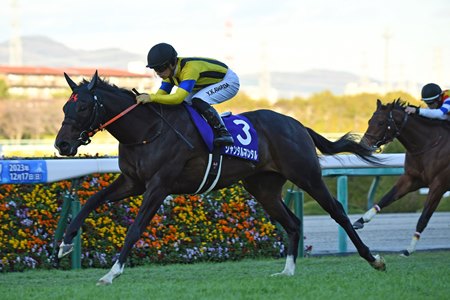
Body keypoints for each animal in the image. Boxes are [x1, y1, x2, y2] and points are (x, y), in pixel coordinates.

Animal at [54, 71, 384, 284]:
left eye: (83, 106)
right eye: (65, 106)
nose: (62, 145)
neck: (147, 131)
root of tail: (297, 124)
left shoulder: (159, 186)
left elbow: (134, 229)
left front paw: (112, 273)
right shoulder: (132, 182)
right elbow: (91, 201)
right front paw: (64, 244)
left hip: (306, 175)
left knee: (337, 212)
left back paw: (373, 258)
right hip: (263, 187)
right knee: (292, 223)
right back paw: (287, 271)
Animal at [356, 100, 450, 255]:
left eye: (381, 122)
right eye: (370, 121)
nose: (363, 145)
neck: (429, 144)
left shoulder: (439, 184)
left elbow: (424, 217)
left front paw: (409, 248)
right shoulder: (411, 179)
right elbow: (386, 198)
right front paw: (362, 219)